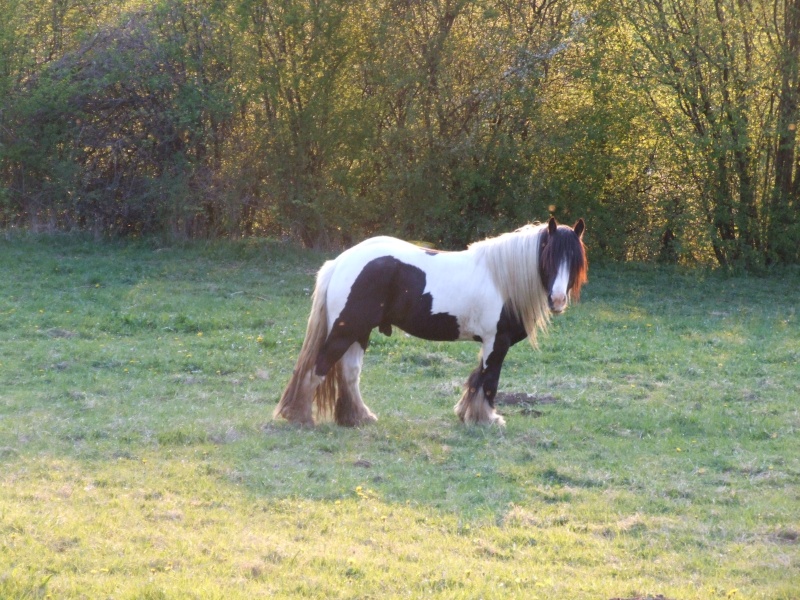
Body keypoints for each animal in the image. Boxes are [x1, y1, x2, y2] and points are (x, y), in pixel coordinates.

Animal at [276, 217, 588, 426]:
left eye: (575, 260)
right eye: (548, 256)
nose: (558, 300)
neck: (503, 280)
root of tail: (340, 262)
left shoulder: (488, 343)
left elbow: (476, 378)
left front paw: (467, 414)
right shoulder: (496, 342)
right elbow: (489, 380)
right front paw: (487, 419)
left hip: (359, 332)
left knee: (349, 373)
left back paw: (359, 417)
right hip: (347, 329)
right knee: (319, 367)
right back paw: (299, 416)